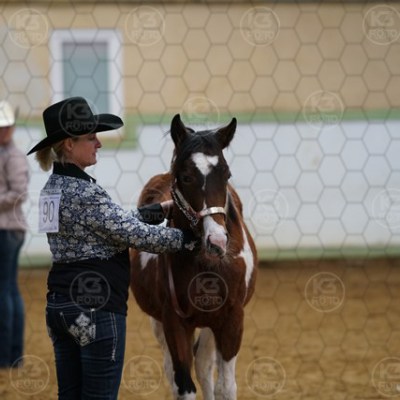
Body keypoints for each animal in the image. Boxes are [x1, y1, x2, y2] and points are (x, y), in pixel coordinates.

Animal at [130, 114, 258, 400]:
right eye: (185, 176)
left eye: (226, 174)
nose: (217, 240)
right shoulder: (173, 321)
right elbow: (184, 384)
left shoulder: (232, 318)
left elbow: (225, 387)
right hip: (161, 323)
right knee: (176, 370)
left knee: (203, 366)